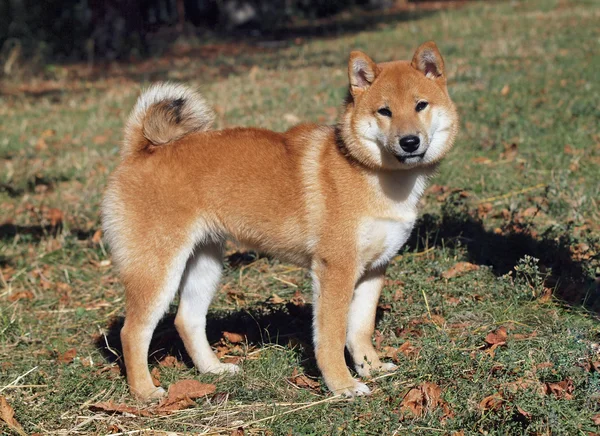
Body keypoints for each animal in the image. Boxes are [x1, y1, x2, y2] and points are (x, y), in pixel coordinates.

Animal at [103, 41, 460, 402]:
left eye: (420, 105)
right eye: (384, 111)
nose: (409, 142)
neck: (374, 174)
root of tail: (139, 151)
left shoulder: (374, 268)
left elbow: (360, 329)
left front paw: (370, 368)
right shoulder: (336, 269)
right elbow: (331, 336)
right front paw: (342, 384)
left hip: (205, 262)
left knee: (186, 320)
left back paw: (213, 370)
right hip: (158, 269)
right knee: (132, 332)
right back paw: (145, 392)